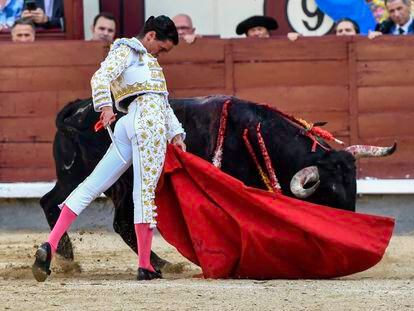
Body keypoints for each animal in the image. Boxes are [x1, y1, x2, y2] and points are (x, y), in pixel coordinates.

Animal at [40, 95, 396, 268]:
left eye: (354, 188)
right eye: (330, 192)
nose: (352, 233)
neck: (258, 134)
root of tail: (76, 111)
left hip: (94, 179)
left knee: (107, 218)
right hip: (90, 176)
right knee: (60, 203)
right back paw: (67, 256)